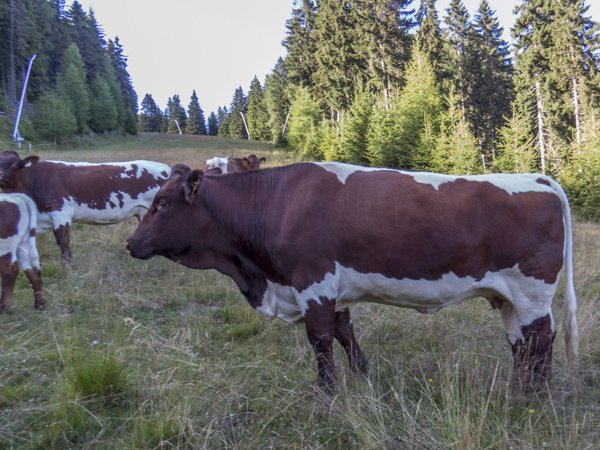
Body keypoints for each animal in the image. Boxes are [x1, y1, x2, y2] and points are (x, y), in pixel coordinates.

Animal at [0, 150, 170, 264]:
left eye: (14, 163)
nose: (0, 175)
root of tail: (163, 167)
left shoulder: (60, 212)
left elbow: (63, 241)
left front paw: (66, 265)